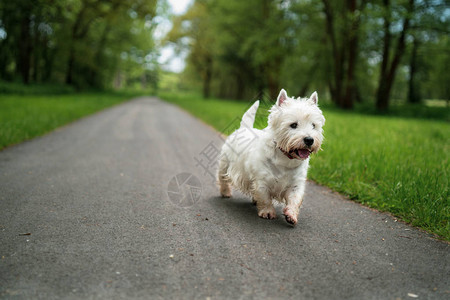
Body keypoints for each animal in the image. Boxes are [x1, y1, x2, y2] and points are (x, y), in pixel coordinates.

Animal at [217, 89, 326, 225]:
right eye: (293, 125)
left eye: (313, 125)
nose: (309, 140)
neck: (285, 159)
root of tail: (244, 128)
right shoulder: (262, 180)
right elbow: (265, 198)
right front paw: (268, 212)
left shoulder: (296, 183)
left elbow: (295, 199)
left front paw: (291, 215)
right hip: (225, 163)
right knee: (222, 178)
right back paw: (225, 192)